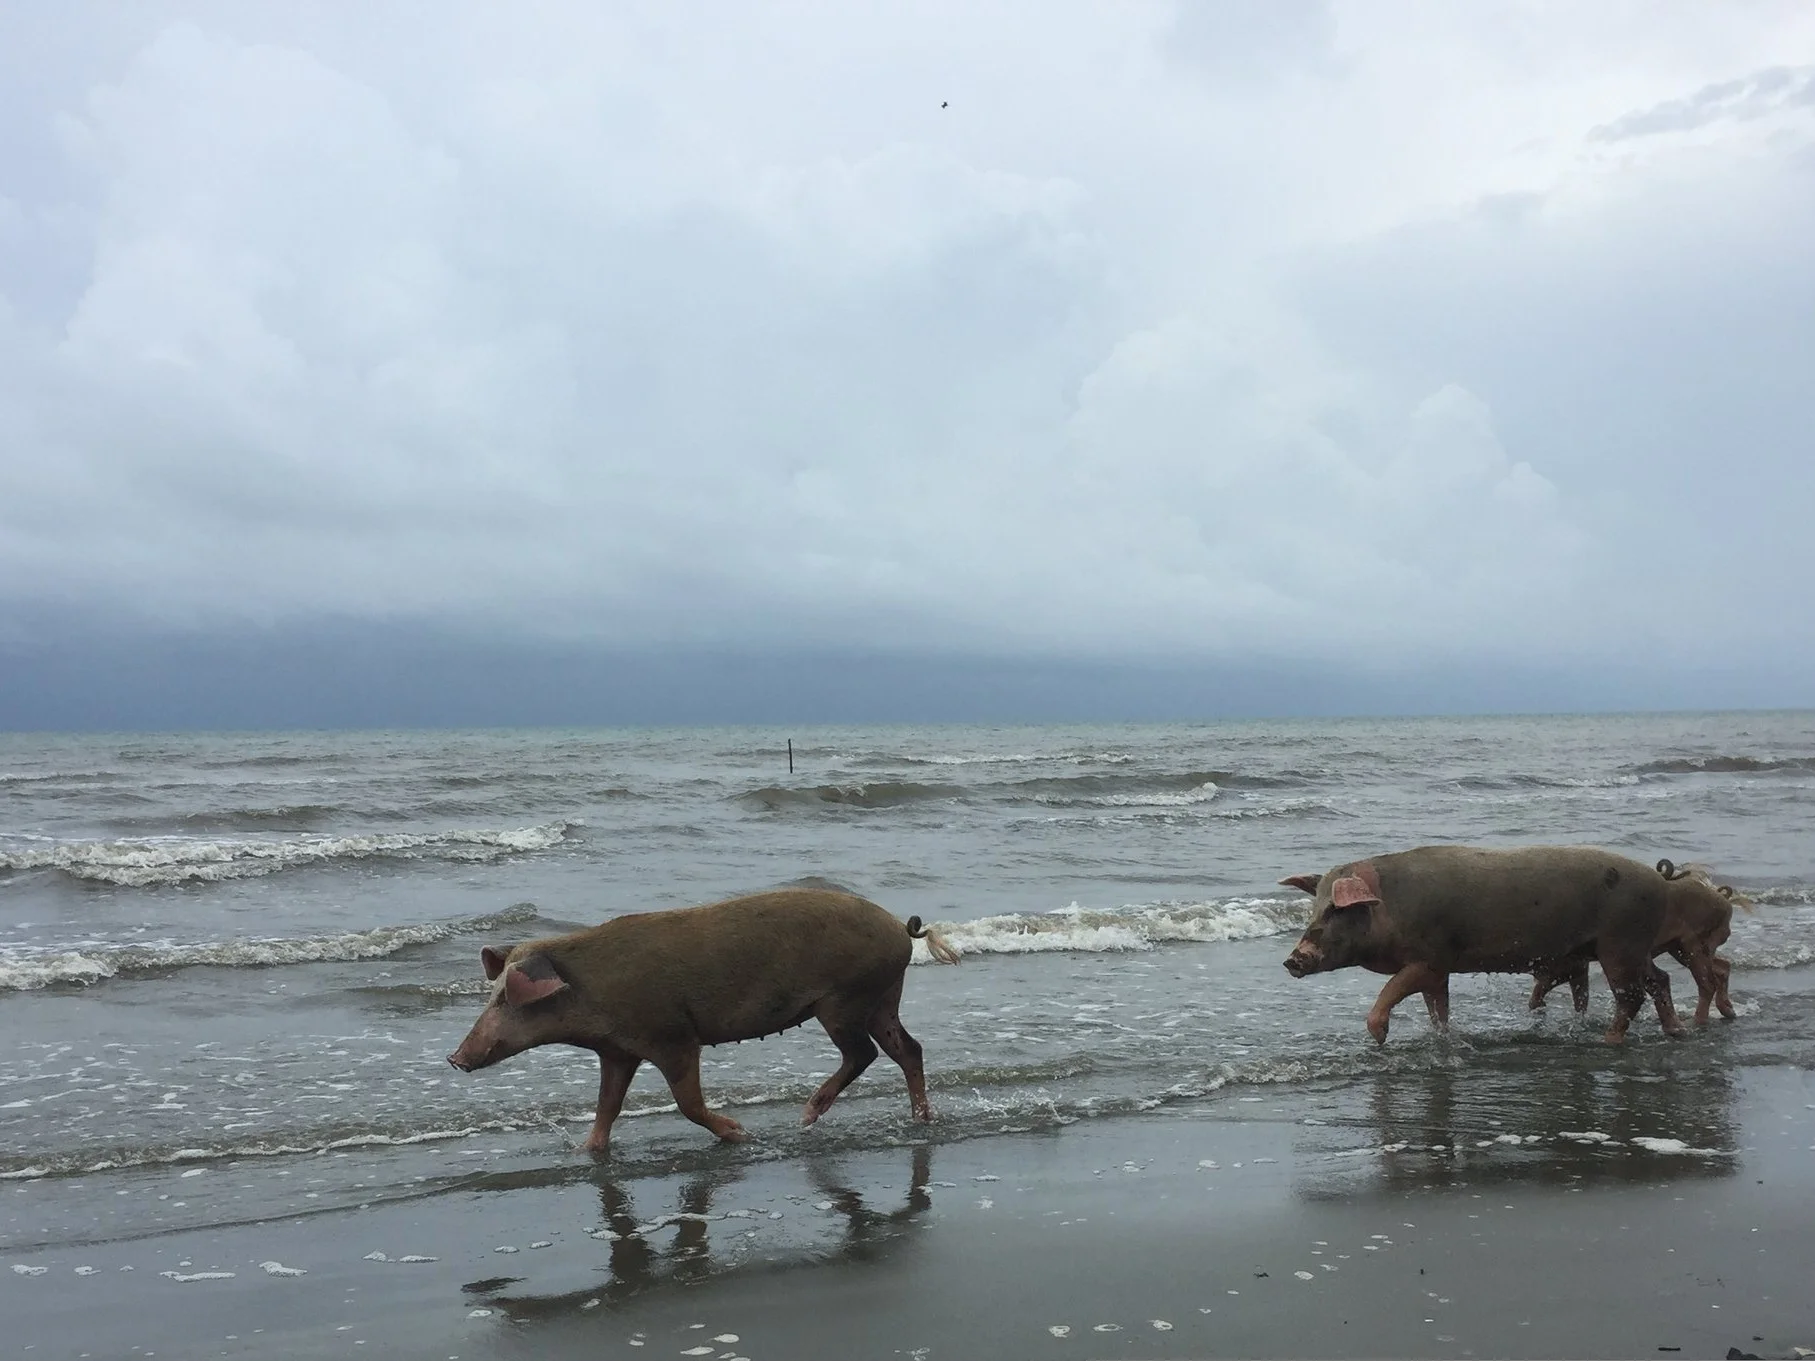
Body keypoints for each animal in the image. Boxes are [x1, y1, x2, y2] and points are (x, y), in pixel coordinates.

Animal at [447, 887, 961, 1153]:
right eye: (491, 995)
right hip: (883, 997)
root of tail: (899, 928)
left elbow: (687, 1102)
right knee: (907, 1049)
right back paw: (921, 1121)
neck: (592, 991)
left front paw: (740, 1132)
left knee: (864, 1053)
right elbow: (607, 1106)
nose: (454, 1058)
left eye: (503, 1000)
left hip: (845, 1000)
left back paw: (806, 1116)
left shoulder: (673, 1036)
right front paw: (586, 1150)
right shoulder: (618, 1051)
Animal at [1279, 845, 1685, 1045]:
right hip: (1634, 947)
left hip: (1621, 943)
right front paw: (1443, 1037)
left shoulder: (1430, 958)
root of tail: (1661, 883)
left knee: (1631, 994)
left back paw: (1609, 1040)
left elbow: (1393, 988)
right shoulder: (1438, 970)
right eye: (1314, 907)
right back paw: (1674, 1031)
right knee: (1659, 980)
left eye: (1336, 909)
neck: (1388, 910)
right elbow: (1437, 1007)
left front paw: (1380, 1038)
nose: (1293, 960)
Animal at [1528, 859, 1748, 1025]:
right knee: (1722, 967)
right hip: (1683, 951)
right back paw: (1727, 1009)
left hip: (1693, 948)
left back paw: (1699, 1020)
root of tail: (1723, 901)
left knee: (1707, 983)